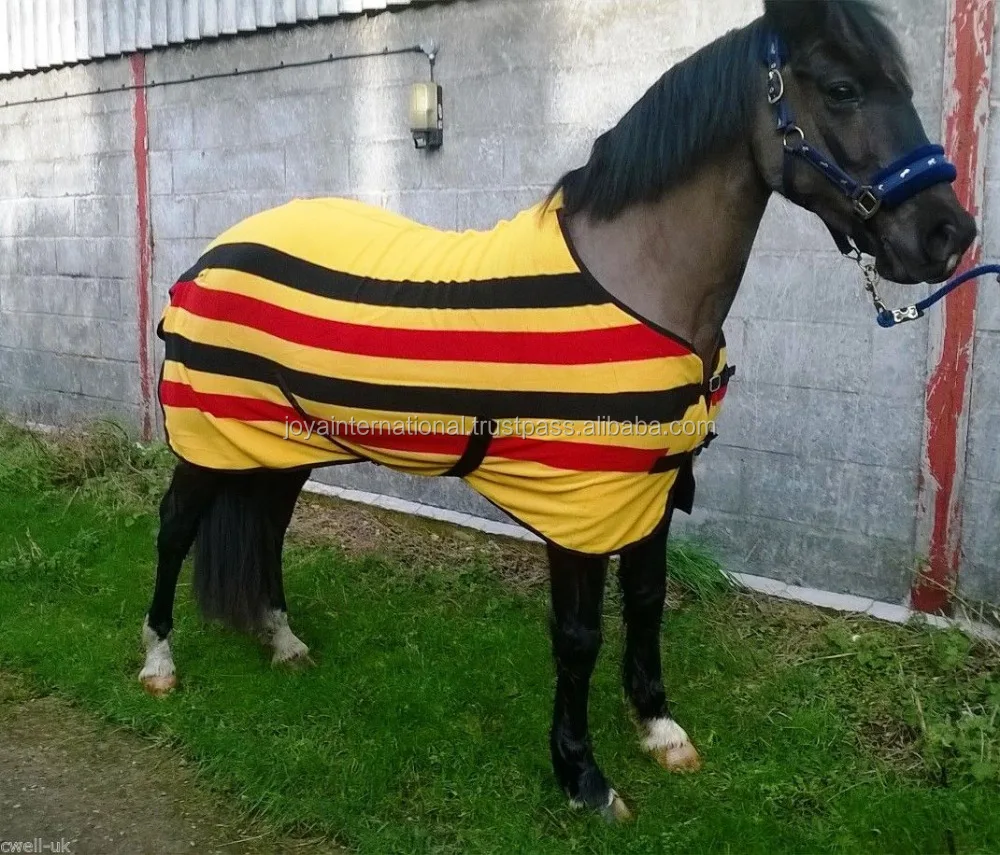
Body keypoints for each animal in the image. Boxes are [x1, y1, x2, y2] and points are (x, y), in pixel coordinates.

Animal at [140, 0, 977, 820]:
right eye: (841, 88)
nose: (949, 234)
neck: (639, 283)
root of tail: (211, 257)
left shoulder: (653, 486)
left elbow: (646, 601)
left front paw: (659, 728)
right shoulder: (579, 503)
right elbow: (579, 634)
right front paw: (583, 776)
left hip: (282, 444)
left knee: (268, 530)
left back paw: (282, 642)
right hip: (209, 441)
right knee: (175, 528)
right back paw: (158, 661)